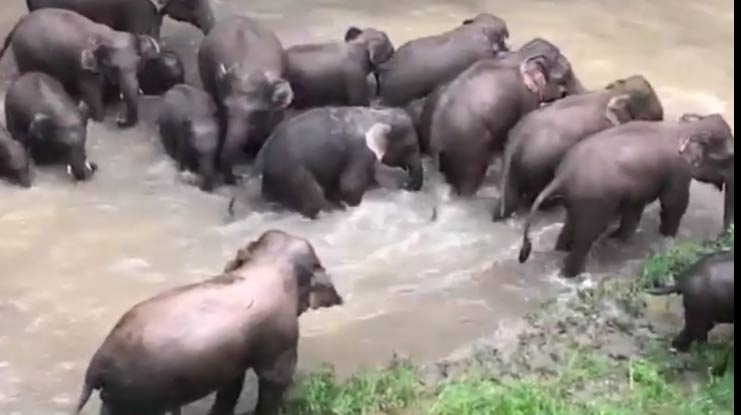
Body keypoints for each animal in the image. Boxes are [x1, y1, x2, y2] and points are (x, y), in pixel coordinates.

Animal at [0, 8, 161, 127]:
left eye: (138, 64)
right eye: (115, 68)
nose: (119, 120)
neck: (109, 36)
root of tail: (19, 23)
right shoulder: (84, 69)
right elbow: (90, 90)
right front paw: (99, 117)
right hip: (25, 54)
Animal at [72, 230, 343, 415]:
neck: (269, 263)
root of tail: (97, 364)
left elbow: (232, 382)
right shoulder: (282, 336)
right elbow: (275, 378)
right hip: (138, 394)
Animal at [257, 107, 423, 218]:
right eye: (410, 147)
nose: (405, 185)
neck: (378, 114)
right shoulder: (360, 150)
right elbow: (349, 184)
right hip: (290, 170)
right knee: (315, 195)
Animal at [518, 114, 735, 277]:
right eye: (729, 158)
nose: (717, 240)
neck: (690, 127)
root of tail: (562, 175)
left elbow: (636, 207)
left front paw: (619, 238)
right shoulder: (678, 171)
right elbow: (675, 204)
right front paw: (667, 239)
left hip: (579, 199)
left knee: (570, 226)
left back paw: (562, 251)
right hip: (596, 201)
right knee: (586, 235)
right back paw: (572, 276)